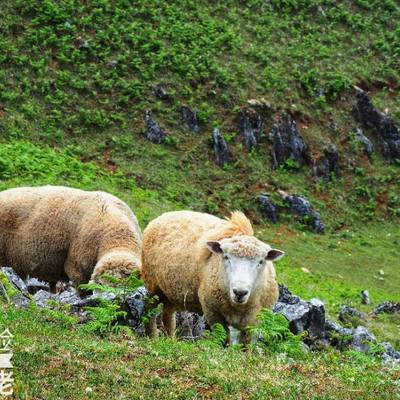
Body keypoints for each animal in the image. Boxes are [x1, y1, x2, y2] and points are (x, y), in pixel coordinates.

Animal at [142, 209, 282, 344]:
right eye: (226, 257)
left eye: (261, 262)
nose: (239, 292)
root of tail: (165, 215)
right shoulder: (213, 312)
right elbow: (223, 340)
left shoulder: (254, 322)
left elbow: (246, 345)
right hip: (153, 284)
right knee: (149, 309)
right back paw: (152, 337)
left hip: (171, 292)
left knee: (167, 316)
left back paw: (170, 341)